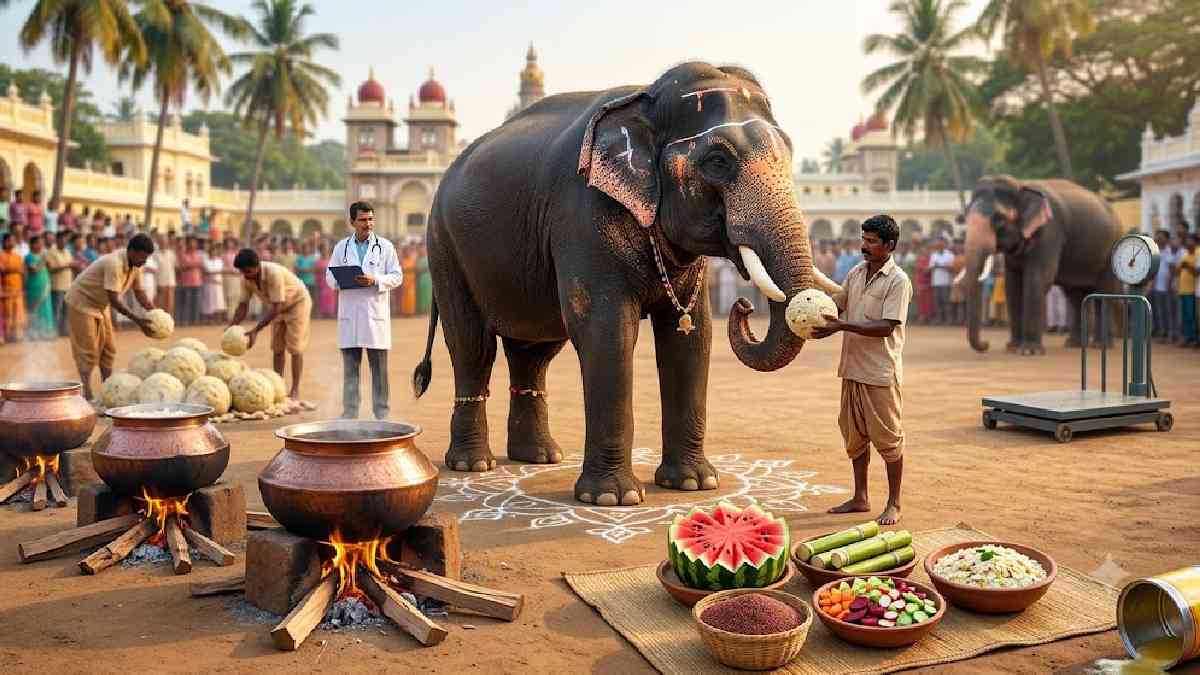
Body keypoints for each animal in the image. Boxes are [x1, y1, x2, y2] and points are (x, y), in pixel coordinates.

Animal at [411, 62, 841, 507]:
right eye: (717, 161)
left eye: (788, 154)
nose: (743, 306)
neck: (646, 98)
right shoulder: (582, 215)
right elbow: (607, 331)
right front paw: (613, 499)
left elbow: (693, 335)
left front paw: (694, 483)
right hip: (444, 244)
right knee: (472, 345)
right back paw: (473, 464)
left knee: (534, 351)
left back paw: (540, 457)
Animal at [960, 174, 1123, 355]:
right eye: (965, 217)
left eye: (999, 220)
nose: (986, 343)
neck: (1021, 184)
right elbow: (1012, 285)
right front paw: (1013, 347)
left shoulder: (1050, 230)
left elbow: (1038, 279)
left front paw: (1029, 352)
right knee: (1075, 295)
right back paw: (1074, 344)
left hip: (1112, 249)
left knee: (1103, 293)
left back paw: (1101, 345)